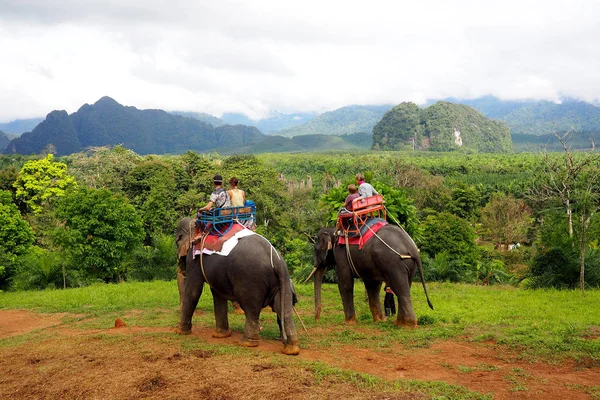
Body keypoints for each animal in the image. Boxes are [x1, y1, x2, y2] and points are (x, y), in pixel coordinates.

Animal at [172, 217, 298, 354]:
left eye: (177, 241)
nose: (181, 264)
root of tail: (277, 260)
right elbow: (218, 294)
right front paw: (221, 335)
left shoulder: (194, 260)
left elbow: (194, 291)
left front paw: (179, 331)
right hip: (282, 281)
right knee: (283, 308)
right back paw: (291, 349)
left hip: (250, 280)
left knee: (251, 307)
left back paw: (247, 342)